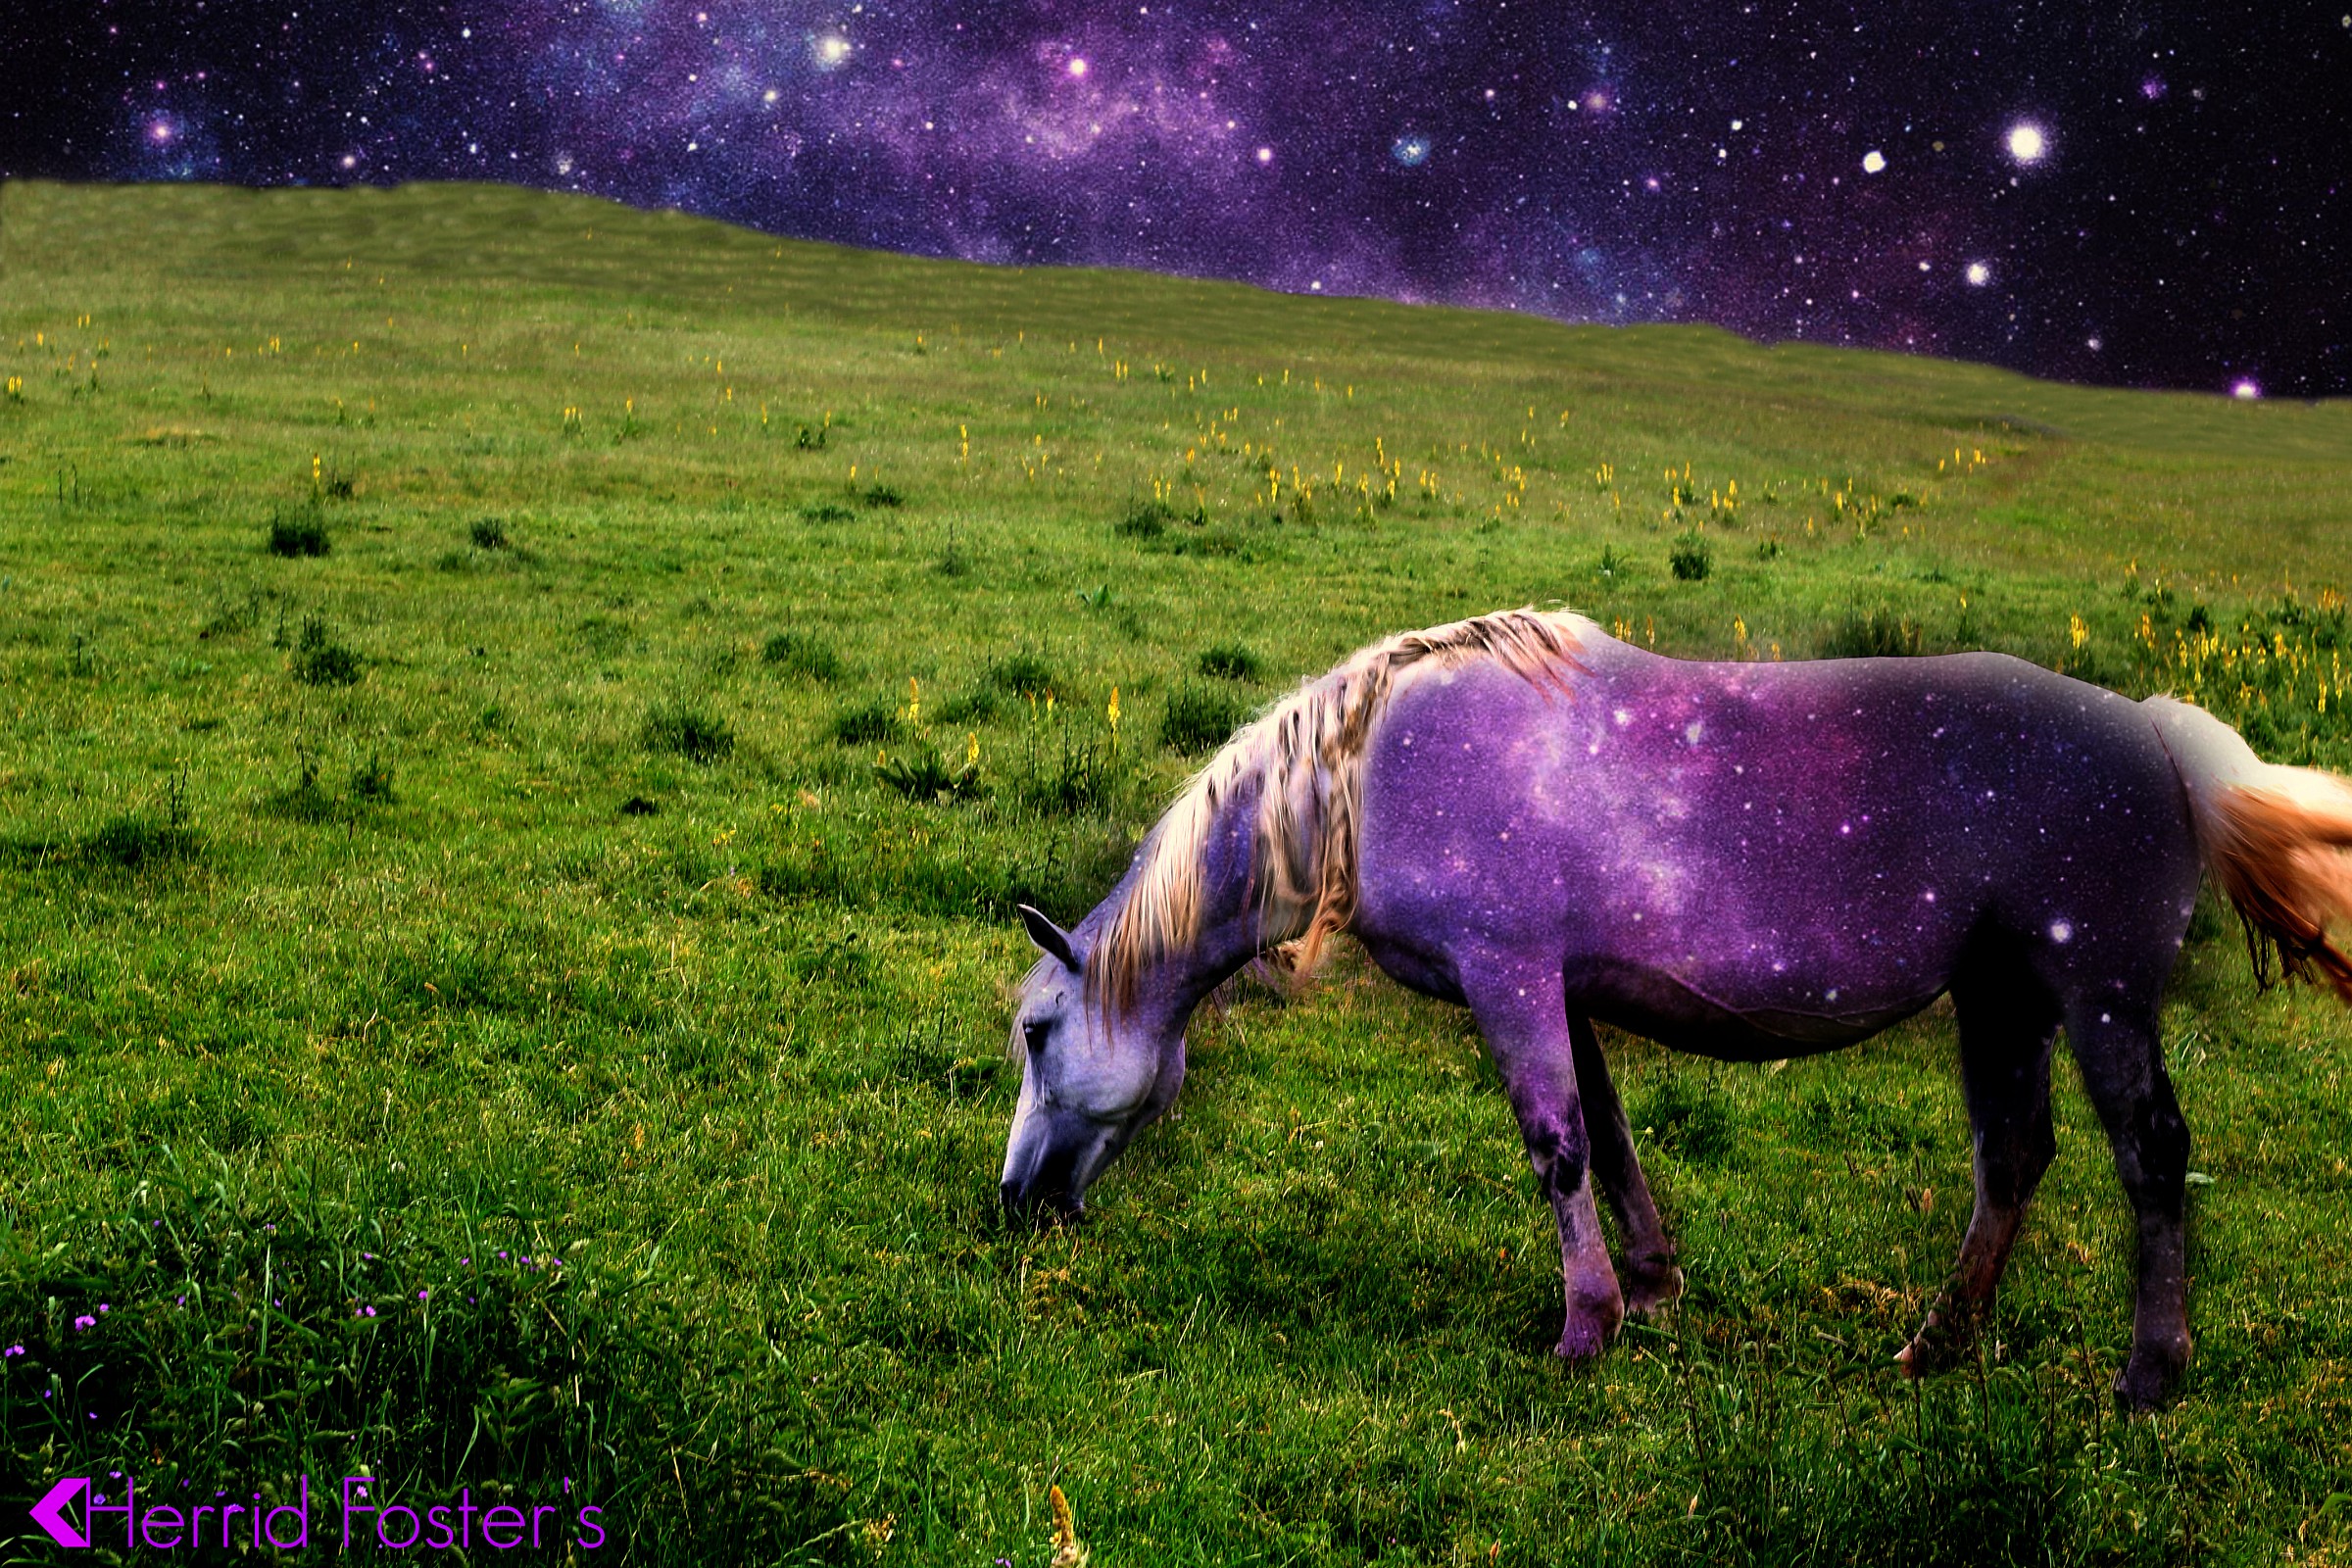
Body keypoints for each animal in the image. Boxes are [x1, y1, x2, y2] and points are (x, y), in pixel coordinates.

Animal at [997, 608, 2352, 1408]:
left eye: (1036, 1030)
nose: (1018, 1200)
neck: (1370, 769)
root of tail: (2156, 735)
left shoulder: (1508, 978)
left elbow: (1555, 1147)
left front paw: (1585, 1328)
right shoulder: (1563, 989)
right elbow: (1608, 1136)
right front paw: (1650, 1289)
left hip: (2097, 996)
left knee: (2149, 1155)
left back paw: (2149, 1374)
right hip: (2003, 996)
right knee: (2013, 1158)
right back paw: (1935, 1346)